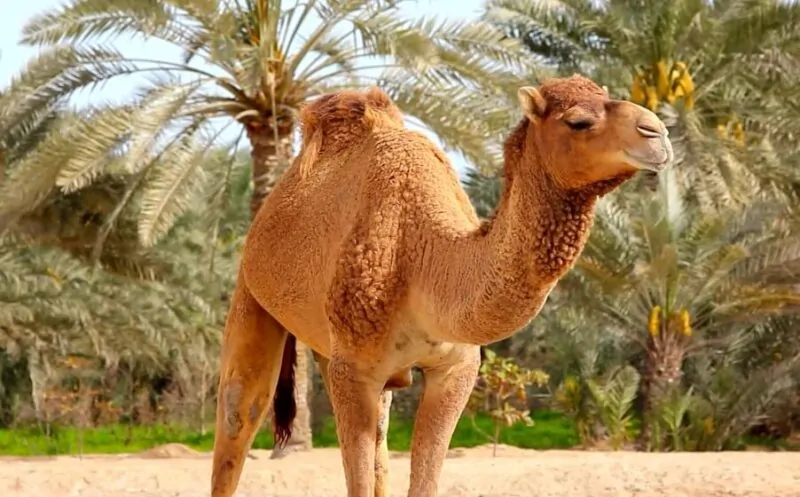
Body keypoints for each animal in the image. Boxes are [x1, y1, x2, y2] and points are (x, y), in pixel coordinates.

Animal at [210, 74, 673, 497]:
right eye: (578, 121)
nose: (658, 133)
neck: (423, 258)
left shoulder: (455, 368)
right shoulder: (354, 370)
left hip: (335, 345)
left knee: (379, 438)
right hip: (253, 293)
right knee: (238, 411)